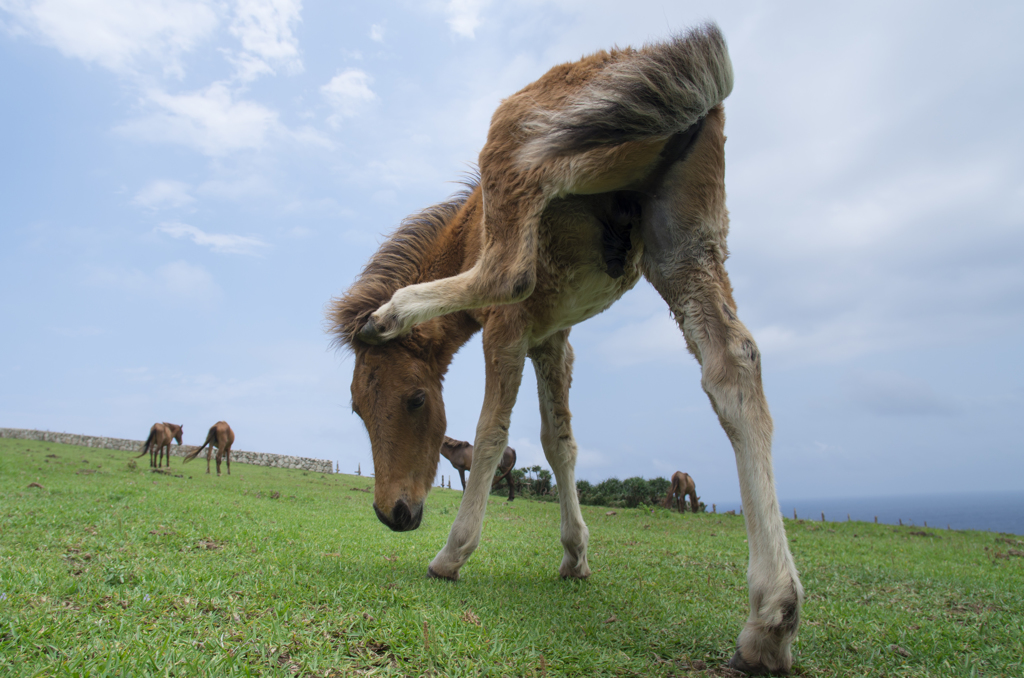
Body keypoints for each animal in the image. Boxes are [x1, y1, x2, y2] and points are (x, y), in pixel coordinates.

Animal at [327, 23, 798, 675]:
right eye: (358, 410)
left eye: (416, 400)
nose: (393, 514)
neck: (467, 231)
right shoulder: (554, 339)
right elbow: (560, 442)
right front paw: (575, 555)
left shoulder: (510, 329)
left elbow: (492, 432)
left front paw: (455, 553)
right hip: (683, 246)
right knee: (734, 366)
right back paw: (771, 618)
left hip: (517, 152)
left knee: (505, 272)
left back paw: (389, 313)